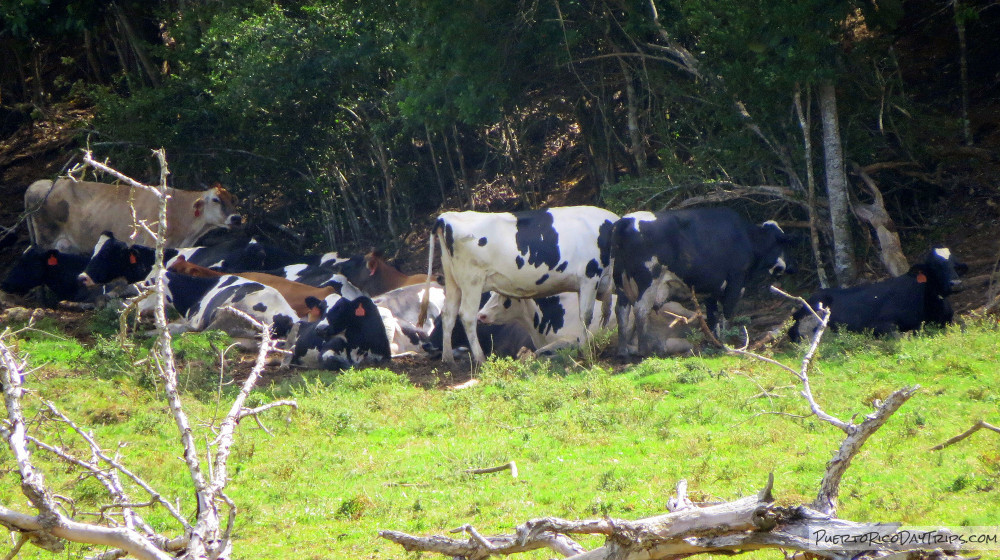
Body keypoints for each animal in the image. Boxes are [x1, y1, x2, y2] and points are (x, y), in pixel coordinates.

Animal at [25, 178, 242, 253]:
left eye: (234, 199)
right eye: (215, 199)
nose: (236, 218)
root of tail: (41, 184)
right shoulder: (150, 242)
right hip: (45, 239)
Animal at [608, 208, 796, 356]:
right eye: (782, 244)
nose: (791, 267)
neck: (747, 238)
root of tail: (625, 221)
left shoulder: (712, 288)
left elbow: (713, 317)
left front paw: (715, 342)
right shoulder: (736, 281)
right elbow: (727, 312)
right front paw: (727, 343)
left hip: (621, 283)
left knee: (622, 311)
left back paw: (623, 352)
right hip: (648, 281)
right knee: (641, 310)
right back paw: (644, 351)